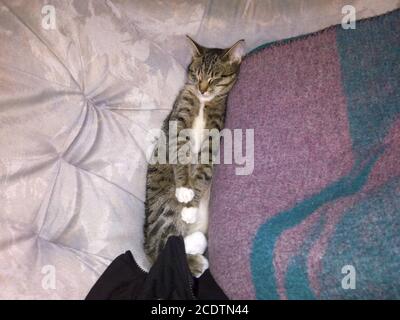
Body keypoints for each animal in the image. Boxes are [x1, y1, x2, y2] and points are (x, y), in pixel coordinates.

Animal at [144, 35, 244, 278]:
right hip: (165, 207)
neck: (203, 102)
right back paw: (198, 259)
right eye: (196, 75)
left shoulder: (214, 136)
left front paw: (191, 205)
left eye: (215, 78)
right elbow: (180, 153)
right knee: (160, 249)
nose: (202, 88)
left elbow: (203, 169)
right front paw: (185, 191)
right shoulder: (178, 122)